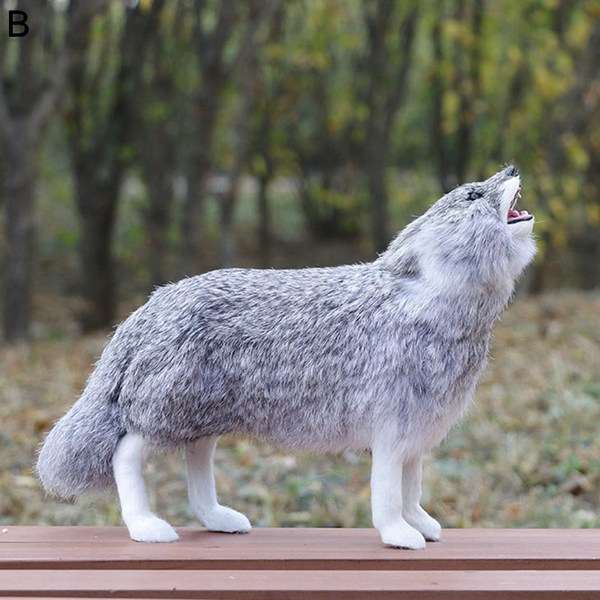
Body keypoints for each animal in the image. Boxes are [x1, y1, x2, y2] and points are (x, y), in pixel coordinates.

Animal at [36, 164, 536, 548]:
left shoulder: (417, 433)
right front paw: (399, 536)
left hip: (201, 421)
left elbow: (413, 491)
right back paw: (147, 527)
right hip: (165, 414)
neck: (428, 300)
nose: (513, 167)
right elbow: (389, 496)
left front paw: (424, 527)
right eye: (473, 194)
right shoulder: (391, 433)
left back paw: (220, 520)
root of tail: (149, 310)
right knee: (124, 454)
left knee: (196, 470)